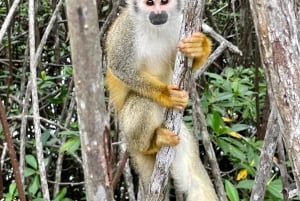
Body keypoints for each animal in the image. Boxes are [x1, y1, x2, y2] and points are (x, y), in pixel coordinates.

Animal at [105, 0, 218, 199]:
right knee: (142, 101)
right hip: (127, 128)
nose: (158, 14)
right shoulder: (127, 29)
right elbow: (119, 67)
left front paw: (199, 47)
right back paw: (151, 144)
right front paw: (166, 94)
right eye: (150, 3)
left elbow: (180, 64)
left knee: (194, 179)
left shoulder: (180, 26)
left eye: (164, 2)